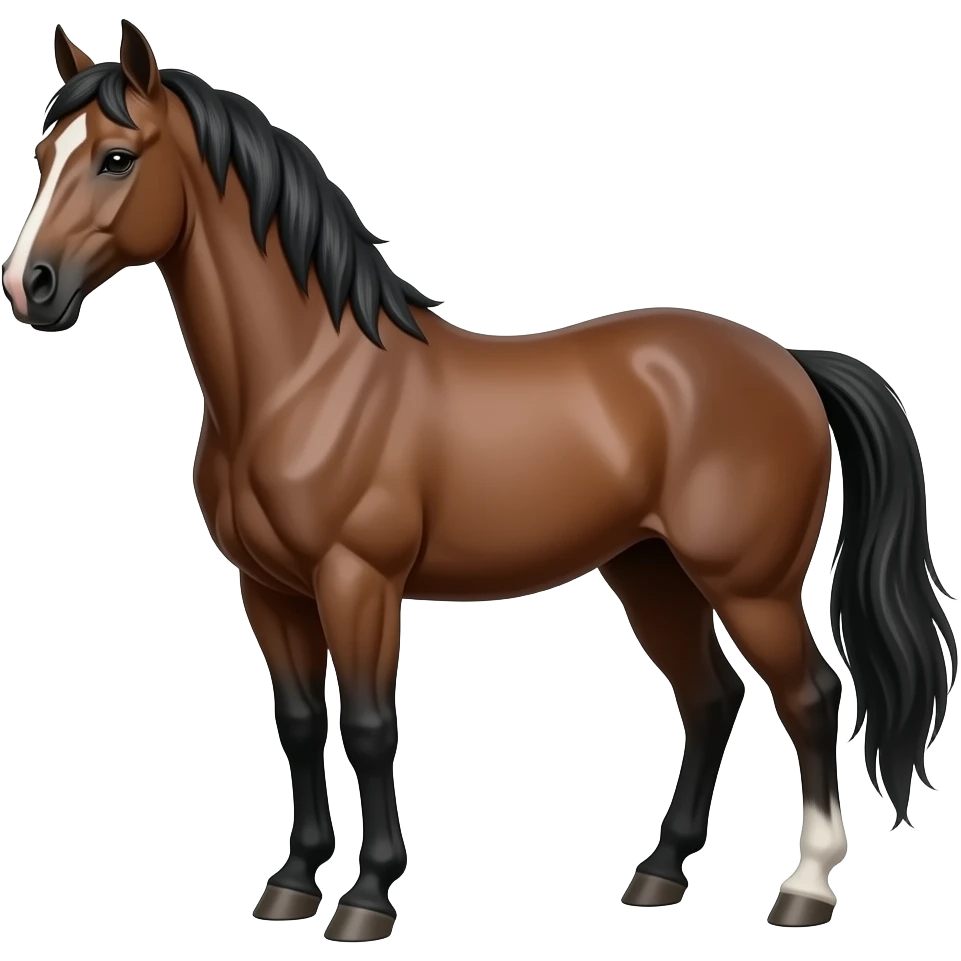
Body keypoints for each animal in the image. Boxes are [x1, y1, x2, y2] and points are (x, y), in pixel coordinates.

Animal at [3, 20, 956, 942]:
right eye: (44, 154)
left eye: (116, 157)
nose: (28, 286)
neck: (308, 378)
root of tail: (788, 362)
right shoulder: (267, 588)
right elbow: (300, 724)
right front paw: (290, 883)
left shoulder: (357, 581)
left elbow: (369, 728)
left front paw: (367, 898)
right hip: (651, 571)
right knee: (709, 697)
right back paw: (657, 873)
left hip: (747, 583)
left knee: (809, 695)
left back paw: (804, 886)